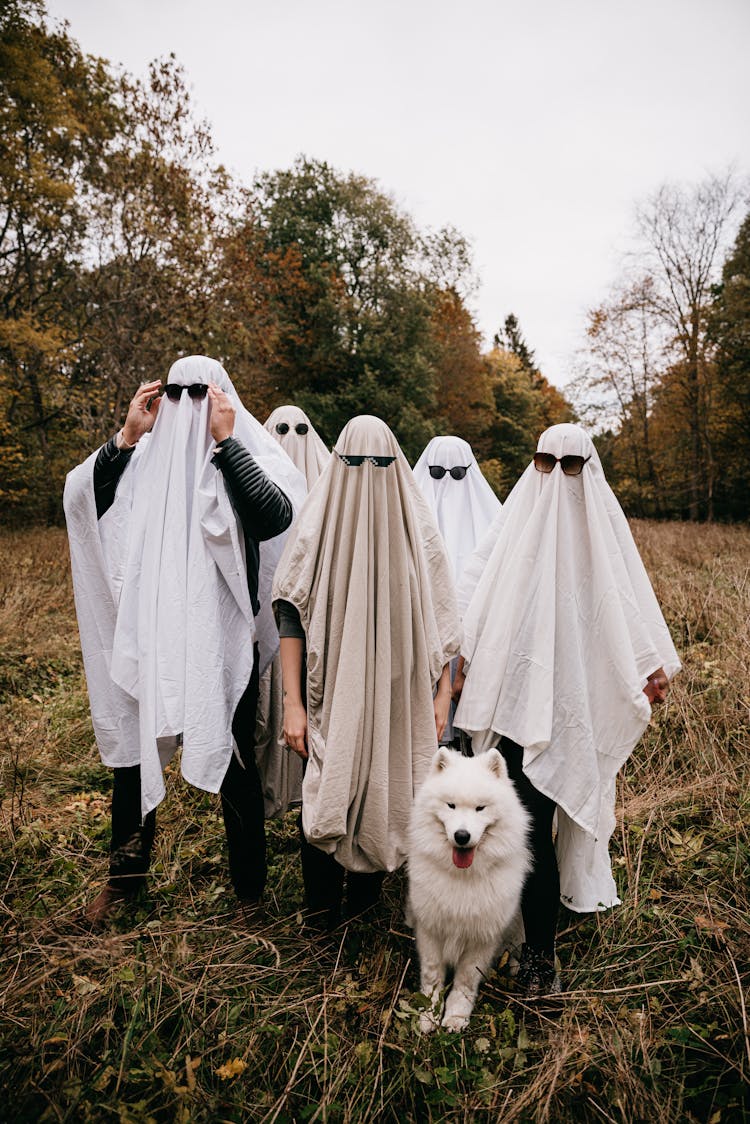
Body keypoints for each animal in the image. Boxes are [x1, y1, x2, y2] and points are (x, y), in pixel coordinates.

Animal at [407, 750, 530, 1029]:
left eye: (480, 808)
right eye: (450, 805)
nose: (461, 836)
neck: (462, 876)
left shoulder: (483, 937)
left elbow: (465, 980)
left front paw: (455, 1016)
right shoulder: (431, 929)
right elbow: (432, 976)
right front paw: (429, 1014)